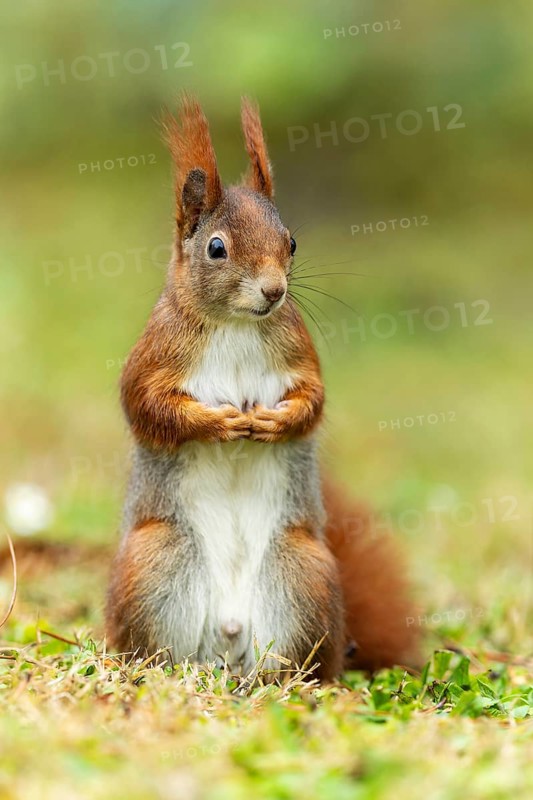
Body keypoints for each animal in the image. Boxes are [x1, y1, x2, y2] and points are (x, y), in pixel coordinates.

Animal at [105, 95, 419, 680]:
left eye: (291, 241)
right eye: (216, 248)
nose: (274, 291)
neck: (236, 323)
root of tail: (227, 642)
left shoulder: (299, 353)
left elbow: (313, 400)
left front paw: (274, 422)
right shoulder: (154, 355)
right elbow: (146, 405)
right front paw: (218, 422)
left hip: (303, 572)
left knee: (295, 660)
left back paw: (286, 680)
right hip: (155, 563)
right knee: (158, 650)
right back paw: (164, 671)